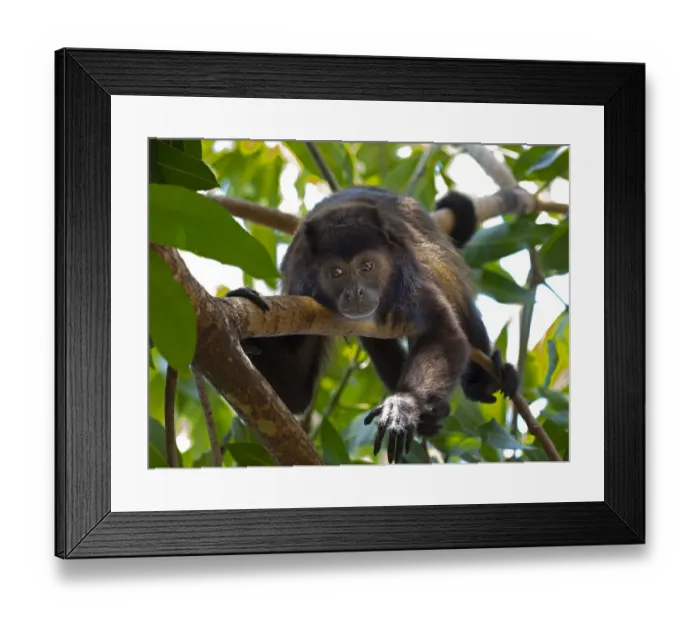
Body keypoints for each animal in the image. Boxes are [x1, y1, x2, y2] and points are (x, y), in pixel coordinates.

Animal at [226, 186, 519, 464]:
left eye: (367, 266)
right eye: (336, 272)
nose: (355, 293)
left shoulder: (408, 277)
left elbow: (443, 333)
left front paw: (404, 404)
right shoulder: (301, 288)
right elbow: (295, 393)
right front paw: (244, 320)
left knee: (461, 307)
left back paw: (484, 381)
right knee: (378, 344)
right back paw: (431, 416)